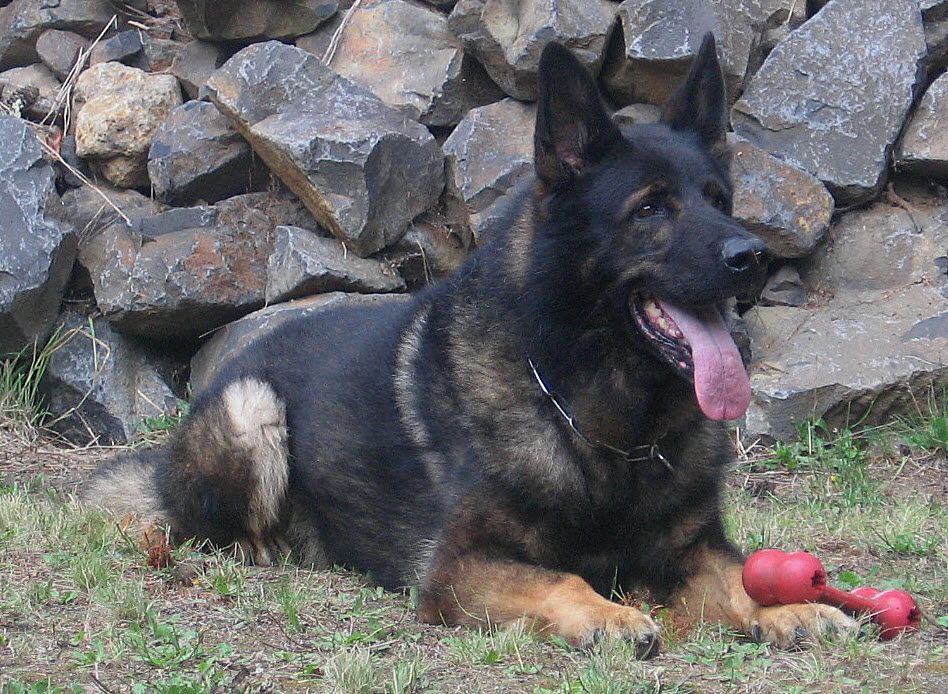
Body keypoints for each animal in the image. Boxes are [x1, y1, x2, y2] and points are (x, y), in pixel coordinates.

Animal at [85, 36, 856, 656]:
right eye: (649, 209)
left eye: (719, 199)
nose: (752, 257)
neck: (606, 427)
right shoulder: (460, 567)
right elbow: (564, 578)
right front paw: (607, 615)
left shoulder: (694, 550)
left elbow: (741, 575)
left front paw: (793, 606)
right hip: (252, 409)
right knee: (205, 524)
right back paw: (269, 543)